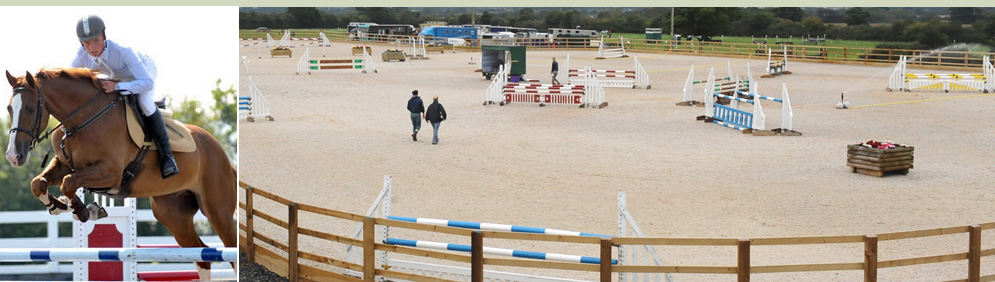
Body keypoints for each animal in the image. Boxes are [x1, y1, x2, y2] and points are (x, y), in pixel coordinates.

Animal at [4, 69, 236, 280]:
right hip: (173, 214)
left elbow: (68, 183)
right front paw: (59, 205)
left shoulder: (110, 173)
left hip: (217, 211)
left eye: (30, 108)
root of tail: (220, 151)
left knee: (230, 248)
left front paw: (84, 211)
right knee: (202, 254)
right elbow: (38, 183)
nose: (13, 156)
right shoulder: (64, 165)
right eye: (8, 108)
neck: (82, 120)